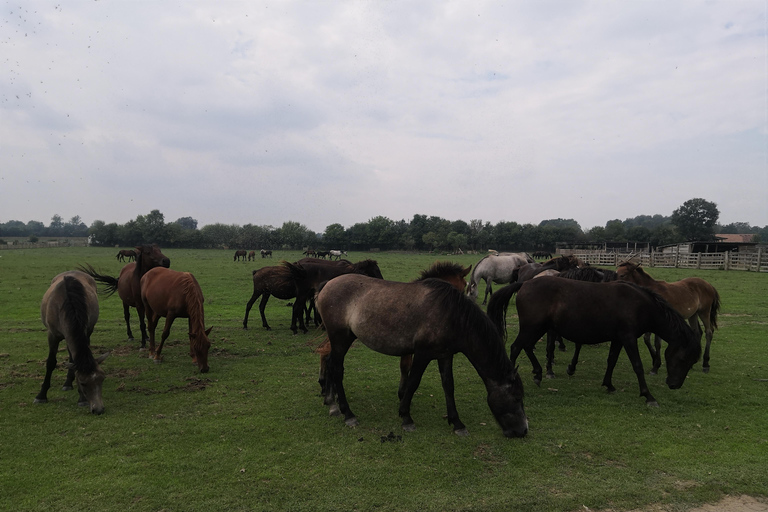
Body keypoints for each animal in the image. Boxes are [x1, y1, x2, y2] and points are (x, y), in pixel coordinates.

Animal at [35, 270, 109, 414]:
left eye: (102, 379)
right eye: (83, 382)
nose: (98, 409)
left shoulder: (85, 330)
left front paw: (81, 399)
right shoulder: (52, 335)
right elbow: (51, 363)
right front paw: (41, 395)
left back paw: (68, 382)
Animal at [314, 262, 472, 402]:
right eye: (463, 287)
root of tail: (326, 285)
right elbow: (405, 367)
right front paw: (402, 394)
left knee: (324, 351)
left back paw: (326, 388)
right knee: (326, 353)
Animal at [486, 278, 704, 406]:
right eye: (683, 359)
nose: (674, 385)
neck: (640, 305)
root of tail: (524, 284)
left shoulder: (618, 339)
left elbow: (612, 361)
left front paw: (609, 385)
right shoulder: (628, 338)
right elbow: (637, 365)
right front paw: (648, 396)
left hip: (538, 328)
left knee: (526, 347)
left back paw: (539, 373)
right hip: (532, 327)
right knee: (516, 347)